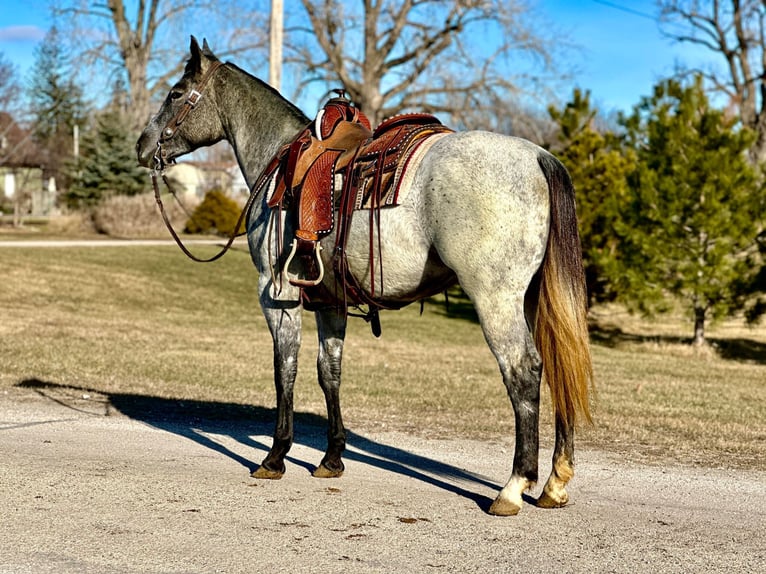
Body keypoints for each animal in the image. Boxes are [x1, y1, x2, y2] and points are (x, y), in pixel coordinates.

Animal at [138, 38, 592, 520]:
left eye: (175, 93)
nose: (142, 145)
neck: (280, 161)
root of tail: (538, 156)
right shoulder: (327, 301)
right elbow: (329, 372)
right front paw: (332, 457)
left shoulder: (276, 295)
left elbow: (286, 369)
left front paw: (275, 456)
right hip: (533, 300)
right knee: (556, 367)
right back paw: (555, 482)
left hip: (496, 299)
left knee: (523, 370)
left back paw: (513, 487)